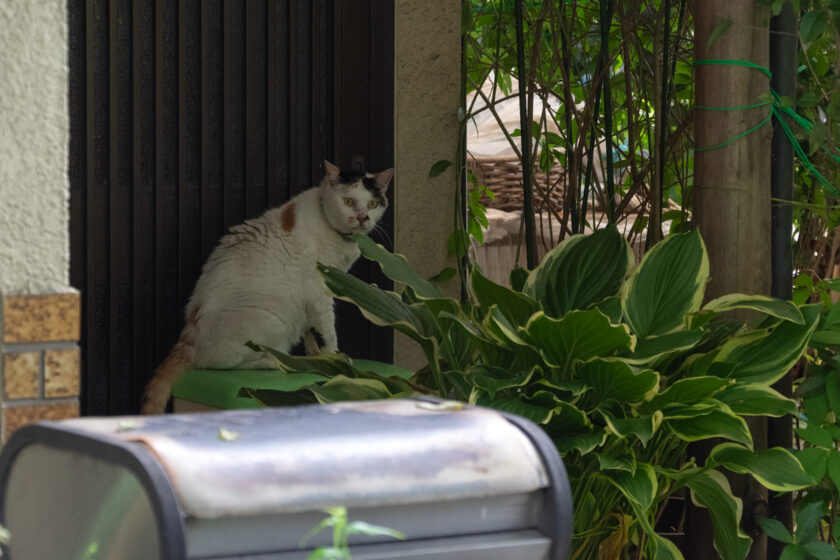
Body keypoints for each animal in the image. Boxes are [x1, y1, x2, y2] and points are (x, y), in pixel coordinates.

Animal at [142, 160, 394, 414]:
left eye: (372, 204)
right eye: (349, 201)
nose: (362, 218)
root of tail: (188, 340)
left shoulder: (314, 295)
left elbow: (309, 328)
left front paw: (315, 354)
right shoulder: (320, 290)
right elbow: (328, 329)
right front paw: (335, 357)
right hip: (270, 319)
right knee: (218, 363)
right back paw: (274, 361)